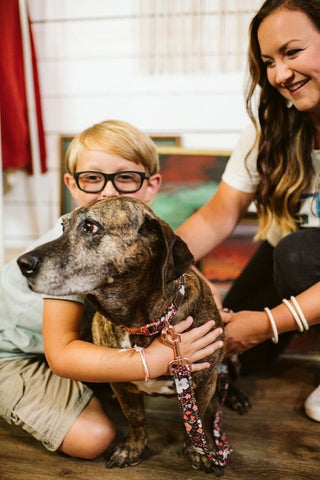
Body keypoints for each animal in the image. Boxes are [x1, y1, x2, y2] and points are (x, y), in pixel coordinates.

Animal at [18, 197, 225, 474]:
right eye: (63, 227)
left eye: (90, 227)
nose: (23, 264)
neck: (144, 324)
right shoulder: (121, 385)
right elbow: (136, 419)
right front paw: (132, 449)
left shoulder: (204, 381)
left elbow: (196, 419)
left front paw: (200, 451)